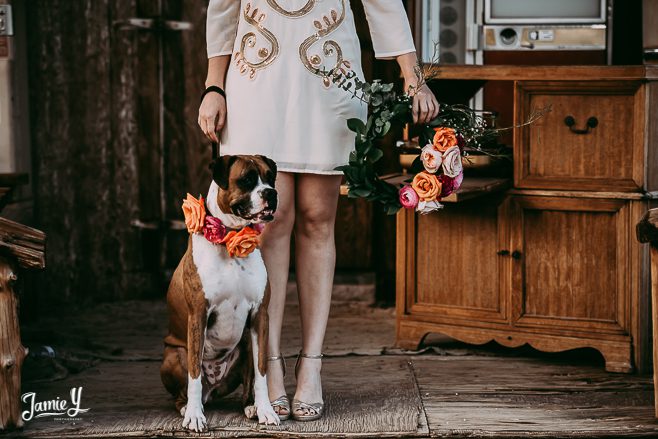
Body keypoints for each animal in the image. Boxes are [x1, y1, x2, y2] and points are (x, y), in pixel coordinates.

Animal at [162, 156, 282, 434]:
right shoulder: (198, 316)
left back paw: (250, 407)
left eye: (270, 177)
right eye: (247, 179)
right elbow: (194, 374)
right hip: (174, 355)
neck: (230, 239)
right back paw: (188, 408)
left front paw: (266, 410)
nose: (271, 193)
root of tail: (213, 389)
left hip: (246, 342)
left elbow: (261, 371)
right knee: (185, 389)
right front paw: (194, 416)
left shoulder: (260, 316)